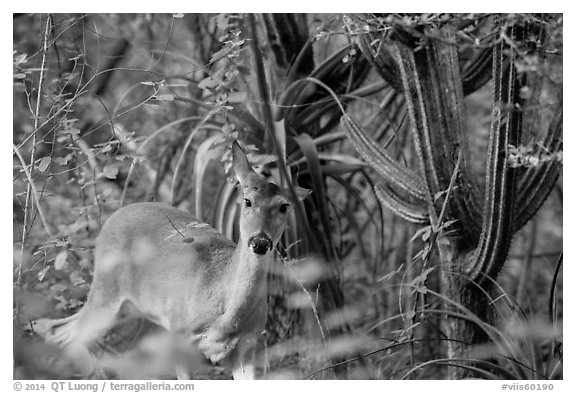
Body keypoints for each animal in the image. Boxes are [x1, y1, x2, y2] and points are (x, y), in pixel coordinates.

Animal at [36, 140, 310, 376]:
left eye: (285, 206)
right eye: (247, 200)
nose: (260, 241)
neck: (226, 316)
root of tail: (113, 218)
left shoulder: (248, 346)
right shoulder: (179, 335)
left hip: (129, 308)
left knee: (56, 328)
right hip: (106, 289)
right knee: (66, 331)